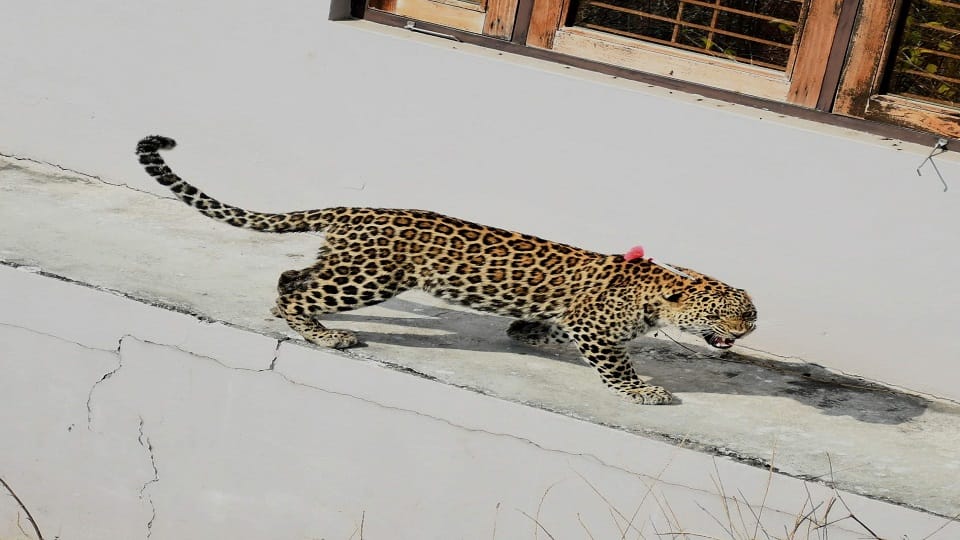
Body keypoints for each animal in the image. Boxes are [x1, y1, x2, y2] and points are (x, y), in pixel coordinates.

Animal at [136, 135, 757, 405]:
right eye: (730, 313)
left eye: (751, 315)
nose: (749, 331)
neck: (657, 297)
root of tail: (354, 210)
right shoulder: (596, 329)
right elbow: (617, 366)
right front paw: (646, 392)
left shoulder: (573, 318)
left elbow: (541, 326)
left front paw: (527, 333)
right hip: (371, 276)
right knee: (298, 291)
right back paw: (326, 334)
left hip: (347, 265)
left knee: (292, 279)